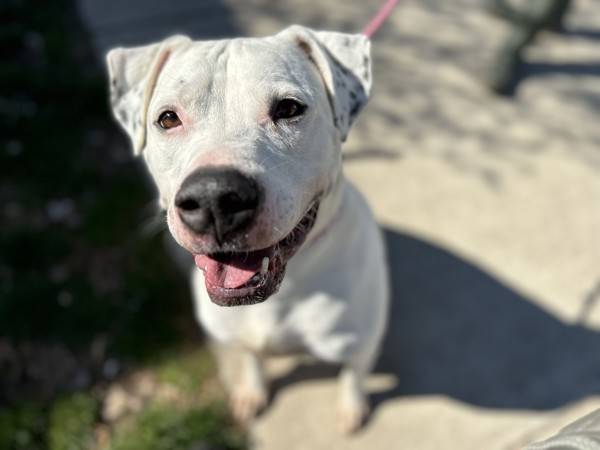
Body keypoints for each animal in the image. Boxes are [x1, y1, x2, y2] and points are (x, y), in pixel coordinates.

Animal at [107, 25, 390, 432]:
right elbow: (249, 359)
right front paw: (251, 393)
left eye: (289, 108)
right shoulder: (234, 336)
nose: (214, 198)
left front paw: (351, 408)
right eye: (168, 118)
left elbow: (353, 375)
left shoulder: (362, 342)